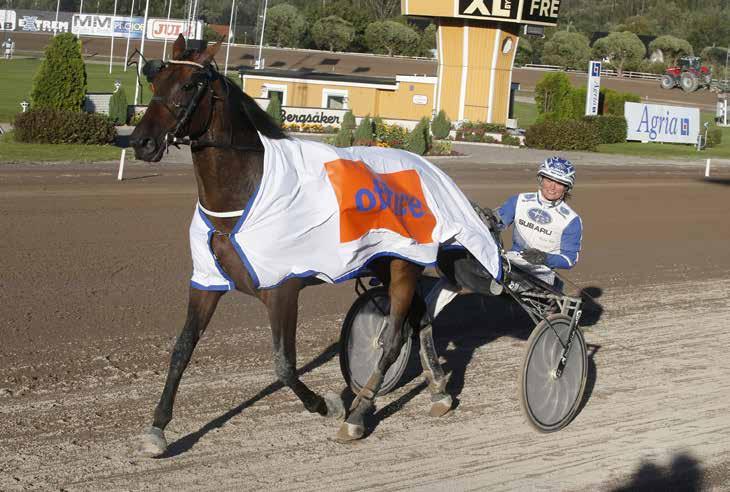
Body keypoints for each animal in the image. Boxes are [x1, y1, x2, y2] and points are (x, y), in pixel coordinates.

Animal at [127, 35, 452, 458]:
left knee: (394, 337)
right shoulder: (207, 280)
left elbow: (283, 366)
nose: (141, 142)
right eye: (156, 79)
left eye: (189, 85)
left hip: (403, 263)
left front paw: (327, 404)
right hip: (383, 260)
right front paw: (157, 428)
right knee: (420, 316)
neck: (244, 194)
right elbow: (182, 348)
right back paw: (439, 389)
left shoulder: (282, 288)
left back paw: (358, 413)